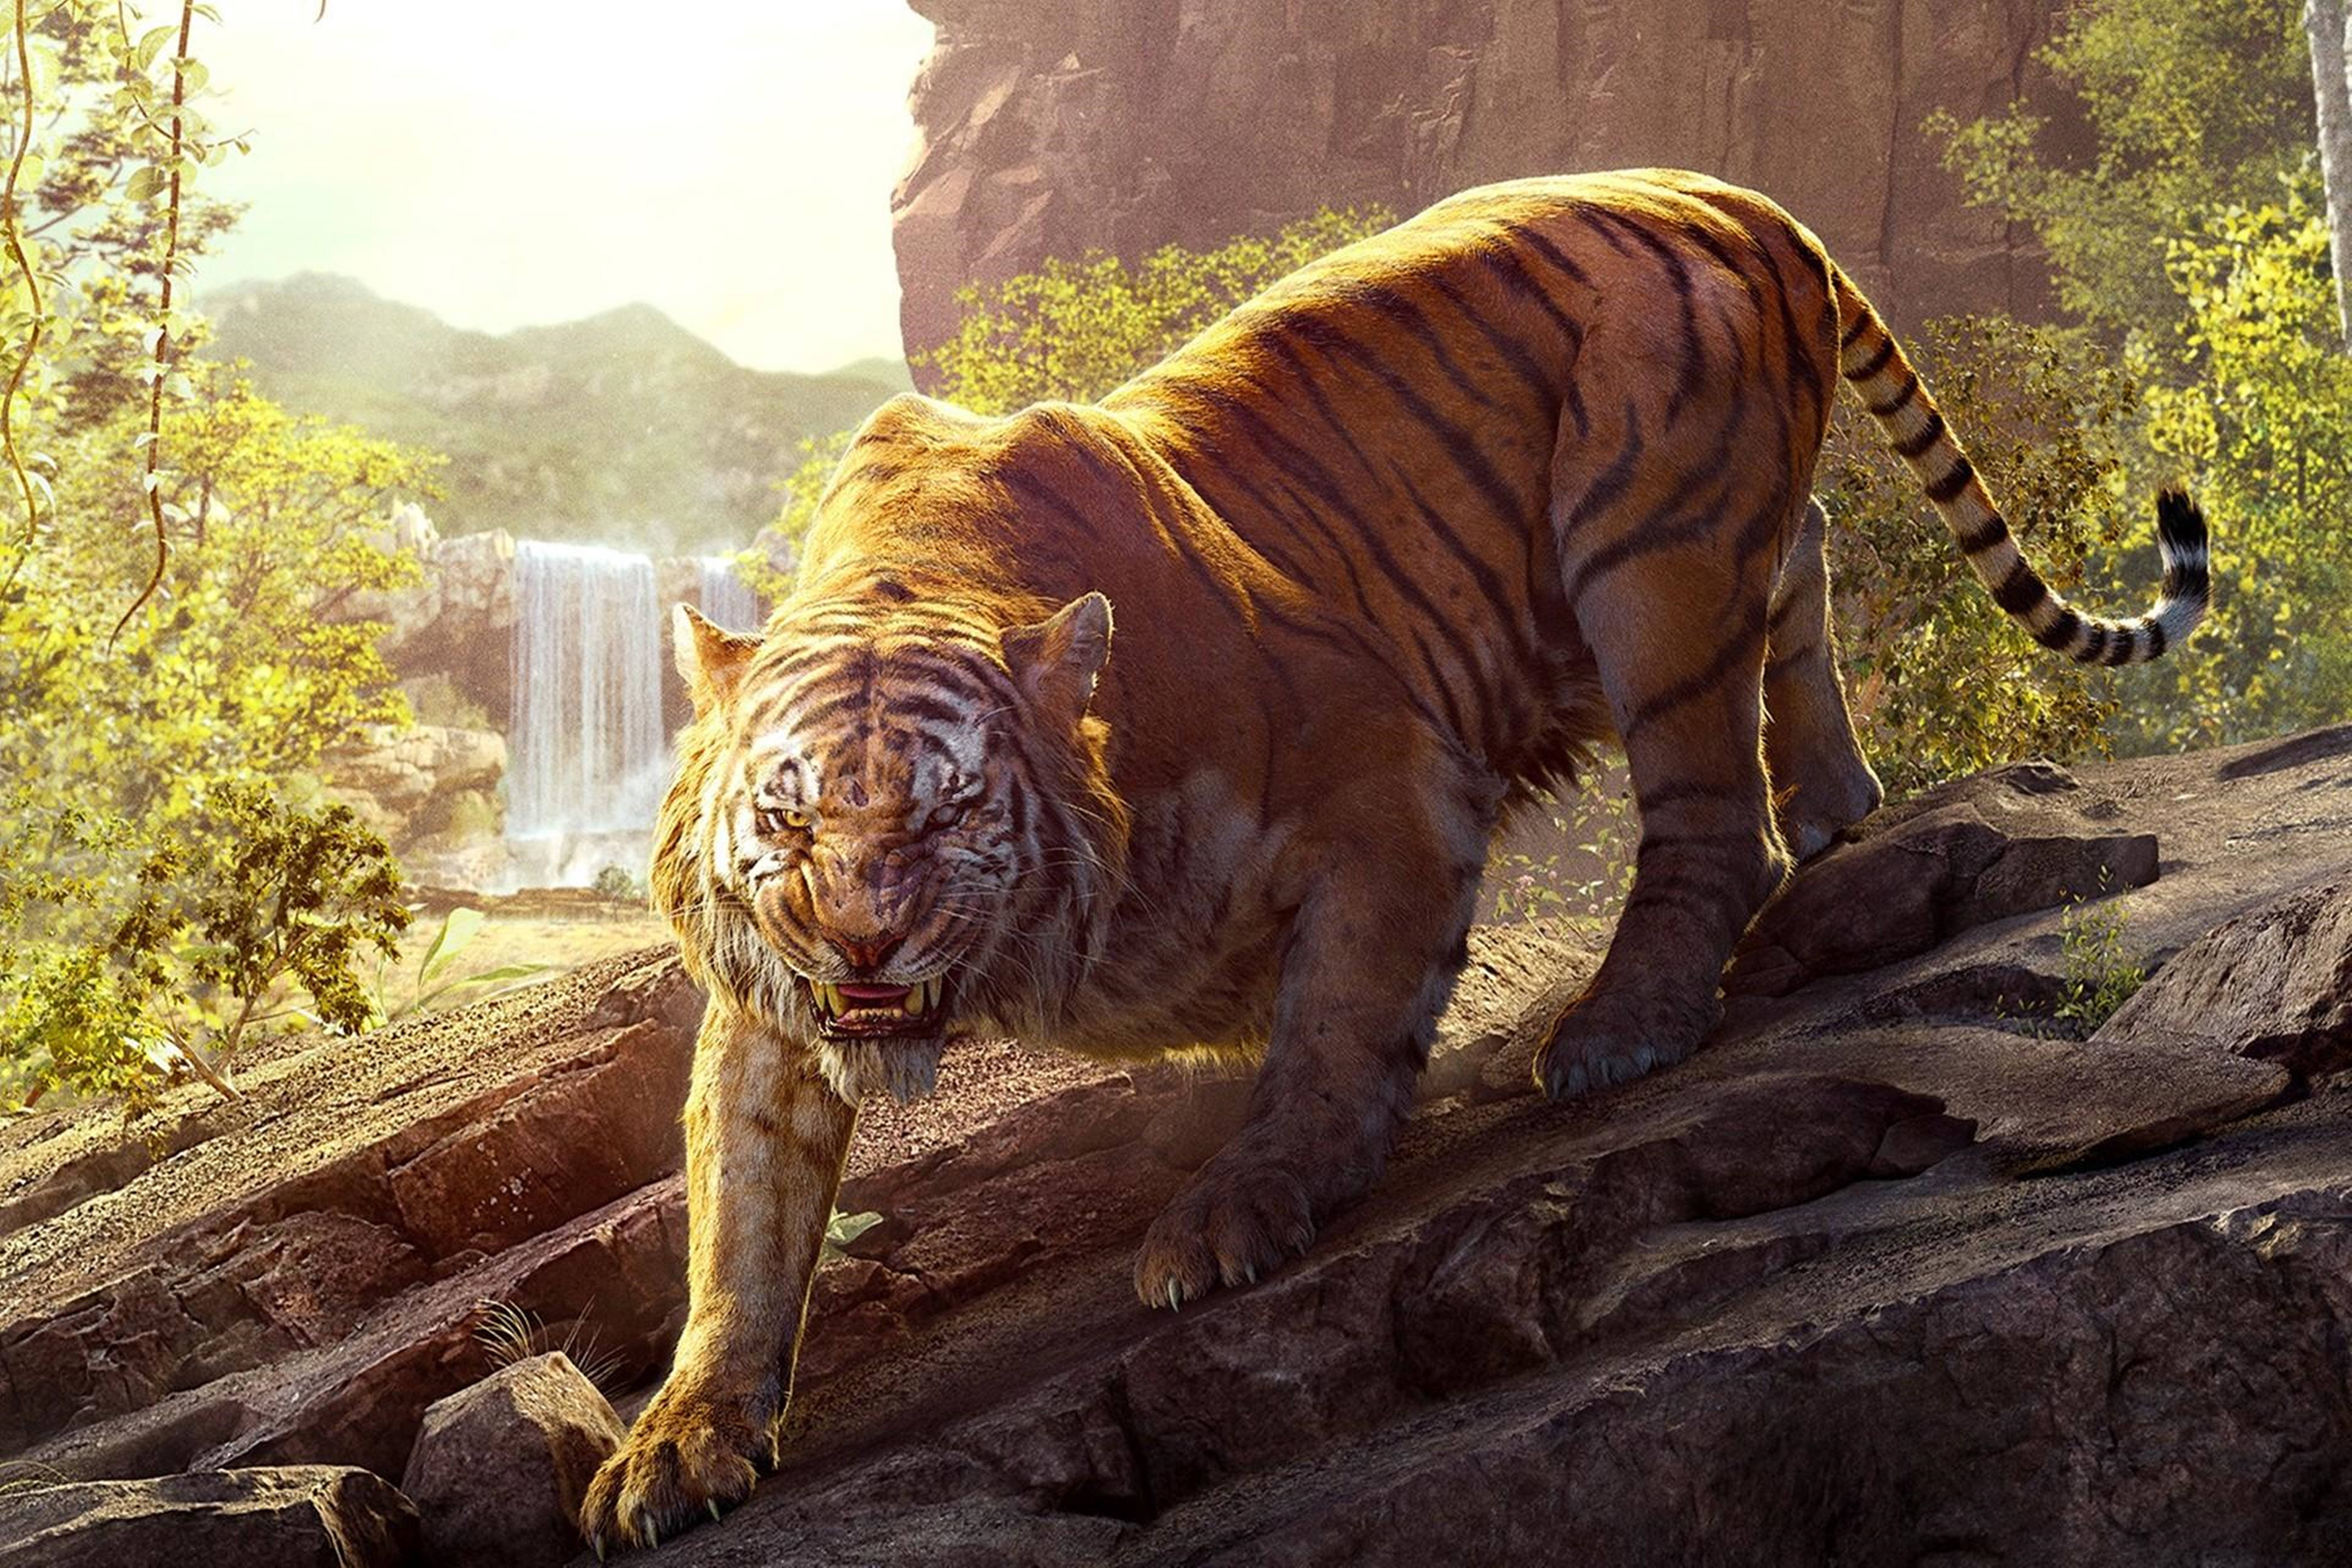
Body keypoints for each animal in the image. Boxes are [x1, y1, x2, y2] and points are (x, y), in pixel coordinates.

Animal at [578, 167, 2208, 1552]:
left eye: (949, 807)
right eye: (782, 815)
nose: (859, 946)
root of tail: (1722, 187)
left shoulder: (1389, 773)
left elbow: (1339, 1021)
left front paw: (1237, 1211)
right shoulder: (764, 1003)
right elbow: (744, 1213)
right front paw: (675, 1443)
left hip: (1647, 543)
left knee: (1707, 811)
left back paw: (1620, 1026)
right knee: (1800, 555)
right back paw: (1833, 800)